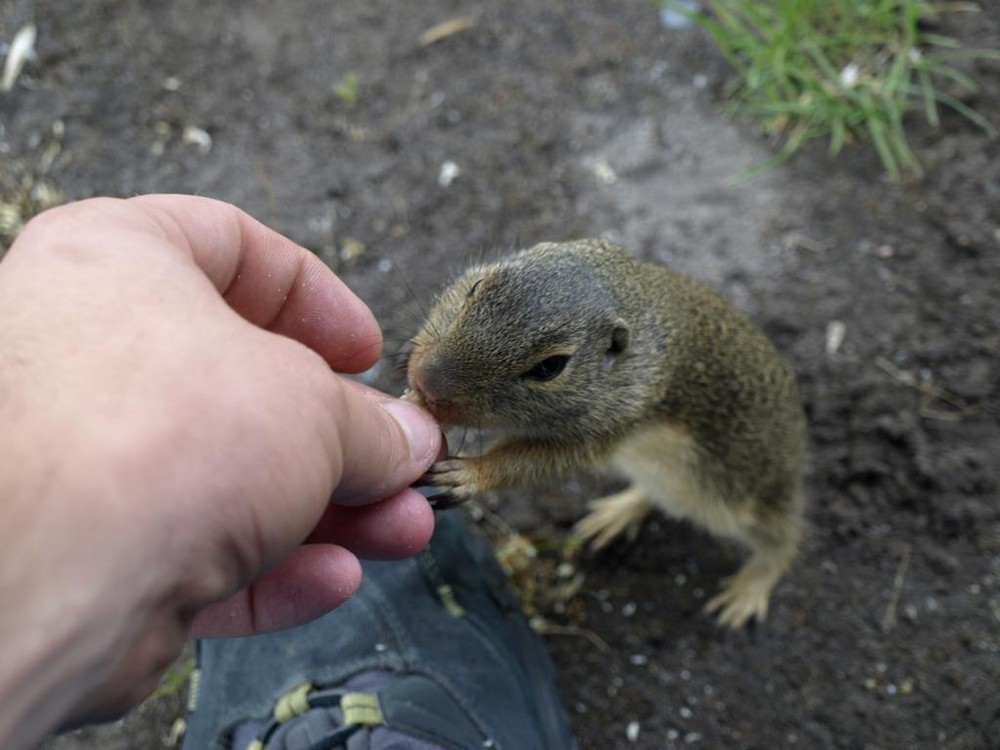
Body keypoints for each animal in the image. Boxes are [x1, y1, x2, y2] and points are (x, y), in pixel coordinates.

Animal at [402, 241, 808, 628]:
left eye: (550, 367)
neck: (634, 293)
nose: (427, 381)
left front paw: (471, 474)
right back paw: (619, 512)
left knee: (782, 543)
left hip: (746, 497)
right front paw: (411, 399)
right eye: (475, 287)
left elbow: (540, 462)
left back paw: (750, 588)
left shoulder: (612, 426)